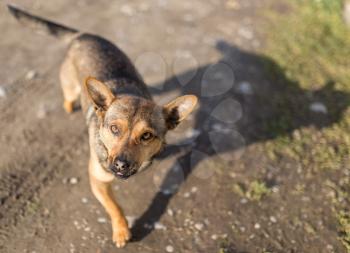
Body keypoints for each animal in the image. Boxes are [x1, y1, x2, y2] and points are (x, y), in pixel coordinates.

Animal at [8, 4, 198, 248]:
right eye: (114, 129)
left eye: (146, 136)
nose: (121, 165)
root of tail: (83, 35)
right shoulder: (97, 178)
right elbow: (114, 205)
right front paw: (121, 230)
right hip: (71, 88)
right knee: (68, 98)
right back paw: (71, 107)